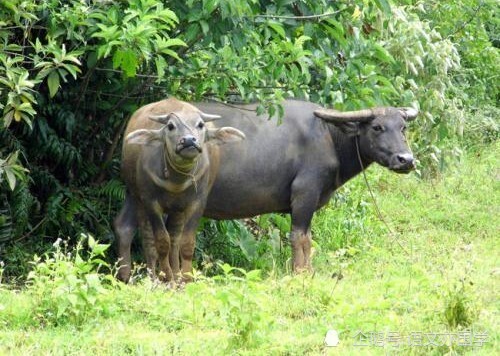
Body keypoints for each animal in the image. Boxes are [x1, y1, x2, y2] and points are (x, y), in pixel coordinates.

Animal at [114, 97, 246, 280]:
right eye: (170, 126)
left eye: (200, 124)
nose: (189, 140)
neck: (177, 181)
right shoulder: (150, 202)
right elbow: (162, 242)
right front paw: (166, 277)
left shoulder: (197, 202)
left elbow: (186, 243)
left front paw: (185, 279)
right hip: (135, 195)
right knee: (142, 236)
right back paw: (143, 277)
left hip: (176, 208)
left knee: (174, 238)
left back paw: (175, 276)